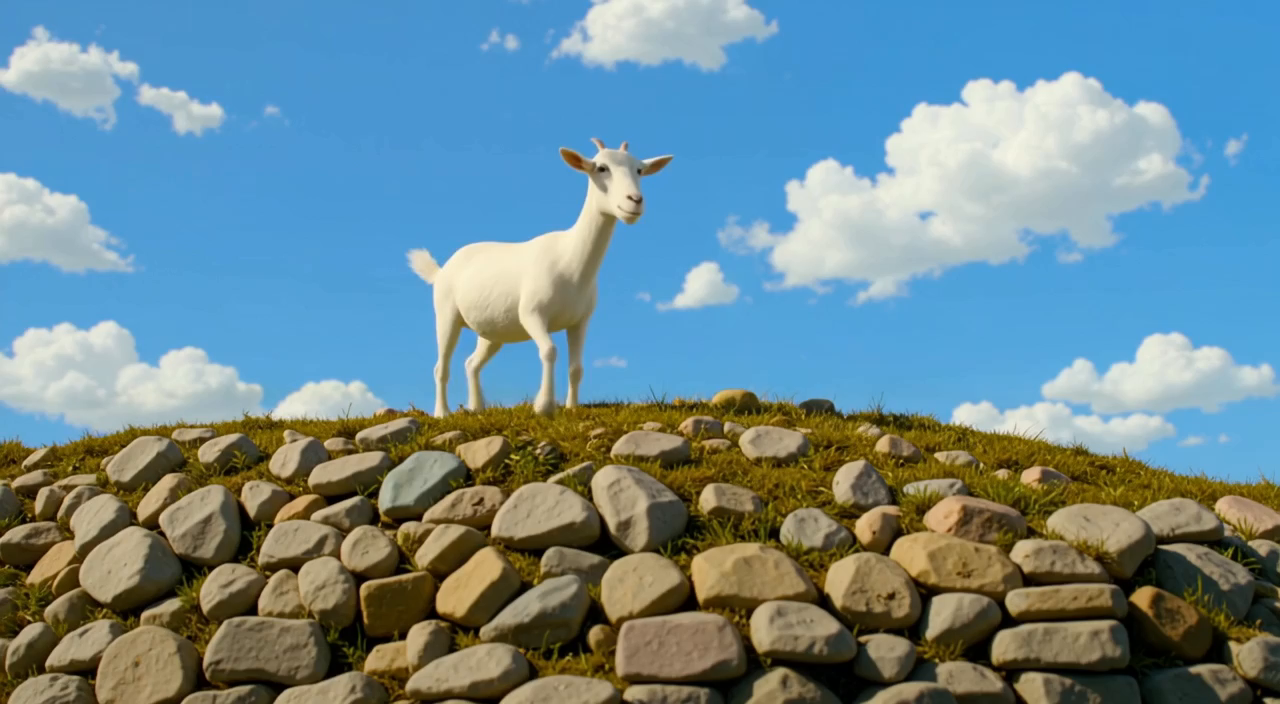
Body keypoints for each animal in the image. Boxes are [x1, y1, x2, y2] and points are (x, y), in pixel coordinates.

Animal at [407, 138, 674, 417]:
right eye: (601, 168)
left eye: (639, 170)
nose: (635, 201)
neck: (570, 261)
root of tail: (440, 270)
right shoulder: (532, 314)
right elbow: (549, 351)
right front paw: (543, 405)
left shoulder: (580, 321)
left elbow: (577, 367)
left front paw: (572, 407)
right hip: (446, 314)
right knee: (441, 366)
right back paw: (442, 412)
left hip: (492, 332)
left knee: (472, 363)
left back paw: (477, 407)